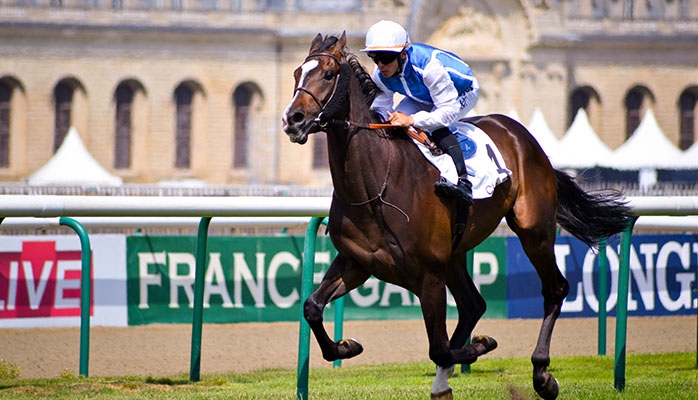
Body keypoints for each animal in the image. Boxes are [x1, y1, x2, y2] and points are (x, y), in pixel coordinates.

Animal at [280, 32, 628, 400]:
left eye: (329, 74)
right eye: (296, 73)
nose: (293, 119)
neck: (375, 187)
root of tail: (526, 139)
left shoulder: (429, 275)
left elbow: (439, 347)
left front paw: (480, 346)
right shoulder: (357, 262)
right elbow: (311, 307)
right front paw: (346, 346)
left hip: (534, 231)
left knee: (555, 289)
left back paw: (542, 374)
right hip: (456, 253)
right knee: (473, 304)